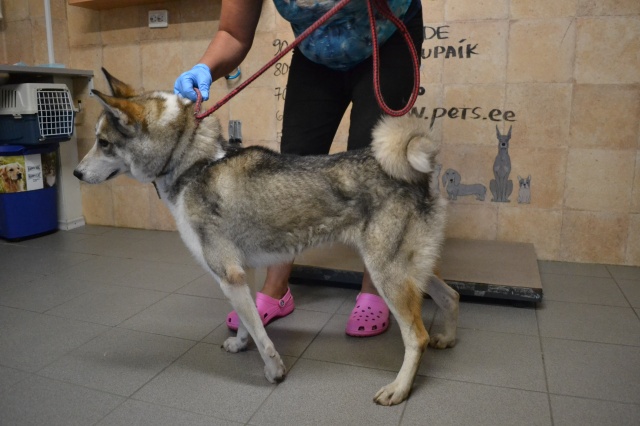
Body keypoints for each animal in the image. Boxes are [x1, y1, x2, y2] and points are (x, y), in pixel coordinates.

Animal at [74, 69, 459, 406]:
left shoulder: (227, 274)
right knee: (451, 296)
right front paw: (240, 344)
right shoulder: (242, 272)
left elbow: (262, 335)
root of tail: (419, 172)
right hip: (411, 270)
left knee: (417, 337)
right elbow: (249, 320)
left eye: (103, 143)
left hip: (386, 273)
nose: (75, 173)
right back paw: (448, 338)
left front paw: (274, 371)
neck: (191, 163)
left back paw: (399, 389)